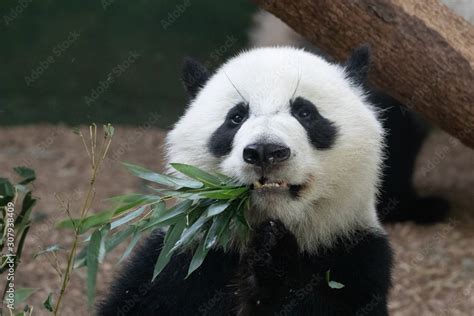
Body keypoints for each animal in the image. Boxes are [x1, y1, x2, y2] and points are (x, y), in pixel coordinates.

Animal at [98, 45, 394, 314]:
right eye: (236, 117)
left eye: (305, 112)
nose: (265, 151)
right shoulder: (182, 257)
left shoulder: (354, 254)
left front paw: (274, 255)